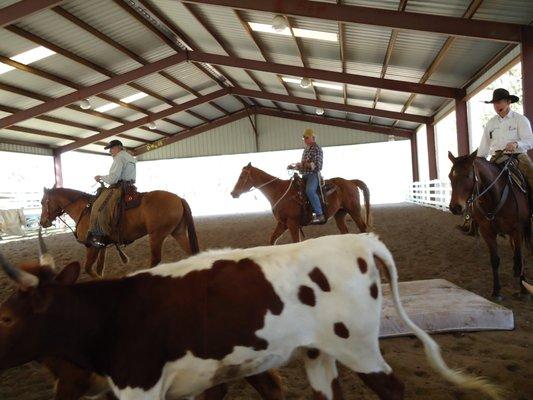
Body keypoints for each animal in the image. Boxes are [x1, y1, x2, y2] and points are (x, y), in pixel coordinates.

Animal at [0, 233, 498, 398]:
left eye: (6, 317)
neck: (114, 314)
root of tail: (360, 239)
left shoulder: (138, 387)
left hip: (358, 346)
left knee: (393, 388)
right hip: (318, 353)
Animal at [38, 186, 198, 276]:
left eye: (42, 202)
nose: (42, 222)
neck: (84, 209)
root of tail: (178, 198)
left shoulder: (91, 246)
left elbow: (89, 269)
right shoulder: (101, 246)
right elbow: (99, 268)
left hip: (156, 235)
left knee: (155, 259)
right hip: (178, 232)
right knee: (191, 253)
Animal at [229, 163, 370, 244]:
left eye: (242, 176)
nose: (233, 193)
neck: (279, 191)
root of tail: (350, 181)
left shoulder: (292, 223)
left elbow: (296, 242)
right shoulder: (283, 223)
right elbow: (272, 239)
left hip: (354, 211)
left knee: (363, 228)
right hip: (340, 214)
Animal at [448, 151, 528, 300]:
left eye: (468, 175)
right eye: (450, 176)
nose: (455, 207)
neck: (495, 198)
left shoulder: (517, 230)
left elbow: (520, 258)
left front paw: (524, 290)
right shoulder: (487, 232)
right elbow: (495, 260)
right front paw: (496, 292)